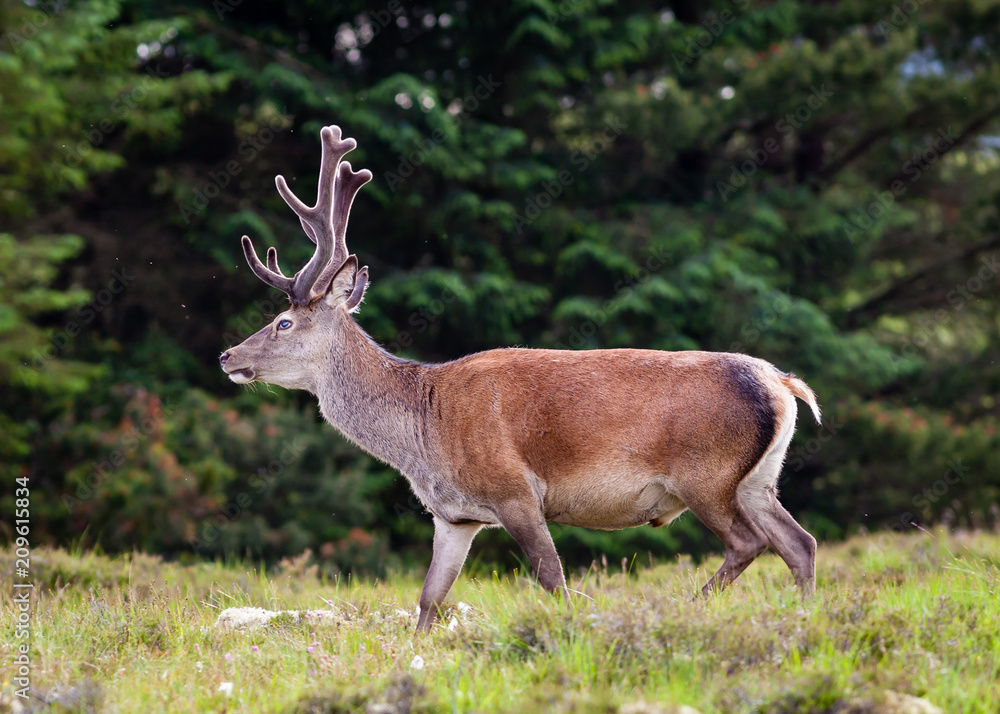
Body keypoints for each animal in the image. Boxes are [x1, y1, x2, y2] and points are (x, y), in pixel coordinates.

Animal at [219, 125, 822, 632]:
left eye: (283, 322)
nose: (227, 355)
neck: (422, 432)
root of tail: (783, 384)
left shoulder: (515, 490)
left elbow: (552, 579)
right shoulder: (454, 516)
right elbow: (429, 598)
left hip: (706, 473)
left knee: (748, 543)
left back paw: (690, 609)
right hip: (757, 480)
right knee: (801, 543)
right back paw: (804, 619)